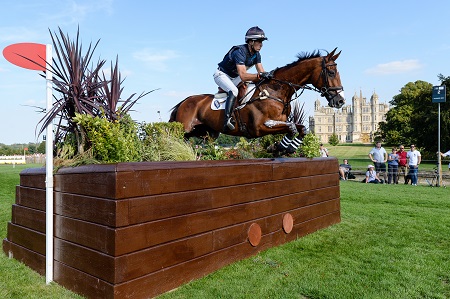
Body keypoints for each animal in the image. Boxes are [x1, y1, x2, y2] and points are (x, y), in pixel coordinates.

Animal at [169, 48, 344, 156]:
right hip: (184, 129)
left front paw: (283, 148)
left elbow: (300, 129)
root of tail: (184, 101)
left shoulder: (280, 122)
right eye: (331, 72)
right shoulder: (259, 128)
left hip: (206, 132)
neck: (275, 91)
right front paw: (279, 147)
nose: (340, 101)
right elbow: (292, 128)